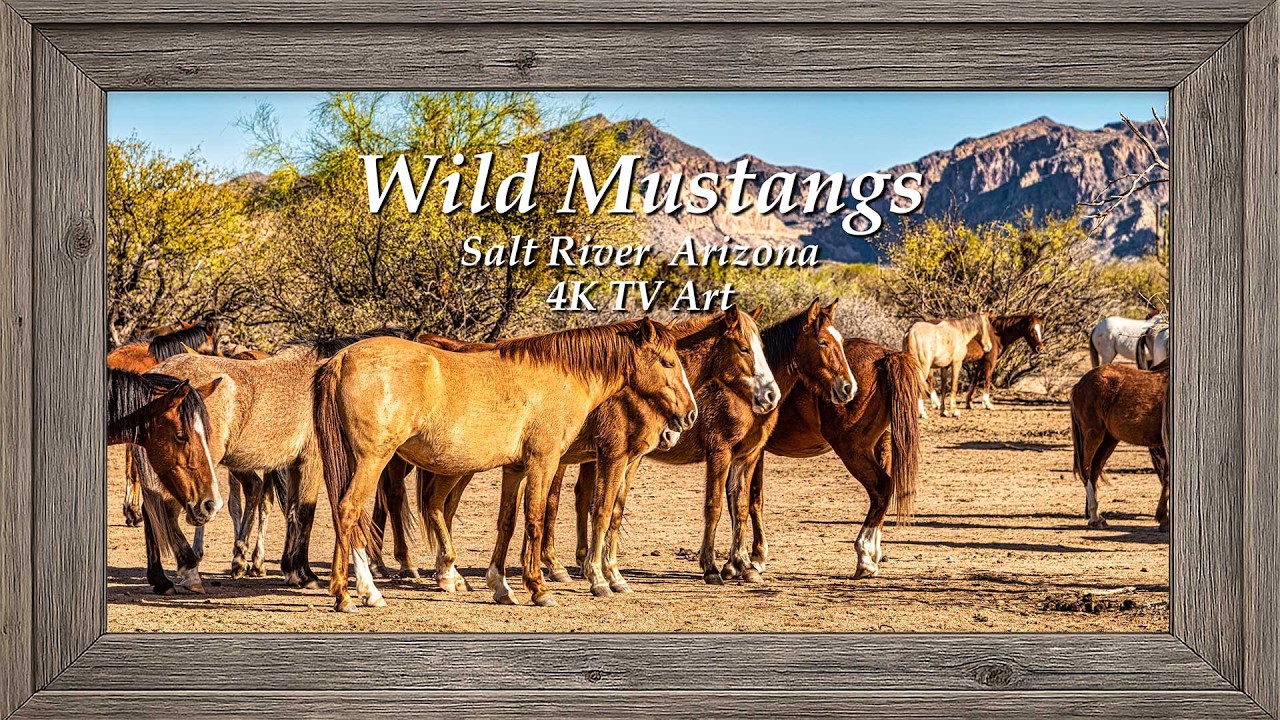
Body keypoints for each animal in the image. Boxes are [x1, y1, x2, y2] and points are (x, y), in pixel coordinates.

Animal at [313, 318, 698, 611]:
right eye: (667, 362)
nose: (689, 414)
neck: (560, 376)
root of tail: (341, 359)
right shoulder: (546, 462)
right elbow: (538, 520)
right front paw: (540, 588)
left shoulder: (516, 468)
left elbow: (507, 523)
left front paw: (501, 586)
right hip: (375, 460)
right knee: (349, 511)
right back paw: (349, 594)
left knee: (373, 515)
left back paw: (378, 587)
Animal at [1069, 361, 1170, 530]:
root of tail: (1079, 384)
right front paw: (1163, 519)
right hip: (1093, 435)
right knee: (1086, 470)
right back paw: (1094, 518)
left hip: (1109, 440)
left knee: (1095, 469)